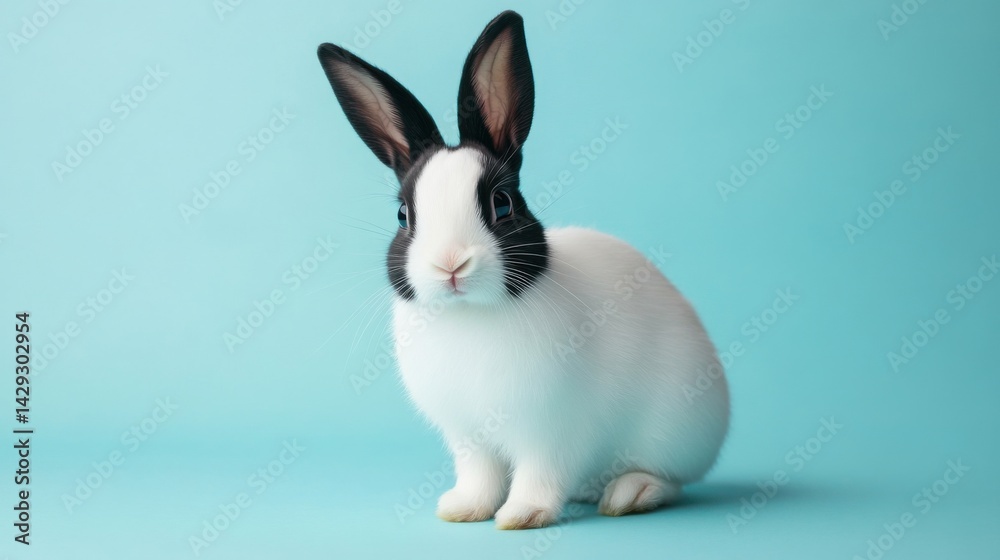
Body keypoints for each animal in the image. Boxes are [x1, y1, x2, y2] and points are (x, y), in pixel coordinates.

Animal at [317, 10, 729, 530]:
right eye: (403, 216)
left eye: (502, 203)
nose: (450, 264)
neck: (468, 316)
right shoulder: (468, 435)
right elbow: (480, 474)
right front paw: (463, 509)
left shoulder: (552, 431)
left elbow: (540, 473)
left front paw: (523, 515)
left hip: (671, 433)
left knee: (671, 479)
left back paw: (630, 493)